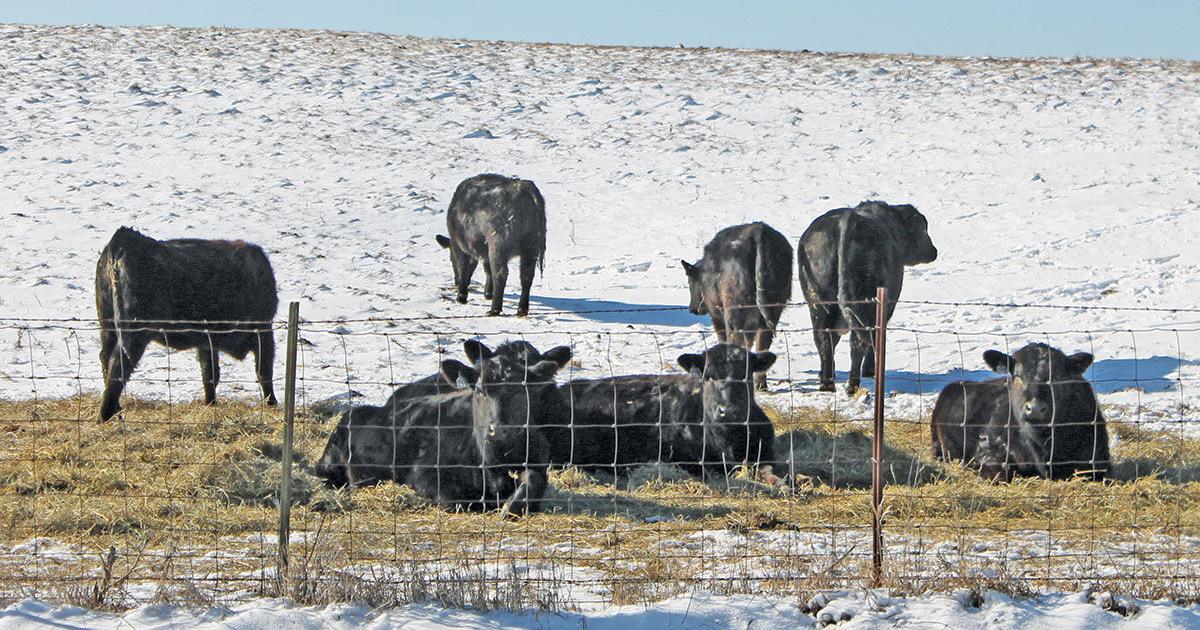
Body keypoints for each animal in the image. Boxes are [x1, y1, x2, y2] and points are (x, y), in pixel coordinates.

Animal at [95, 227, 278, 421]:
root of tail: (123, 239)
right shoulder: (264, 329)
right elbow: (264, 370)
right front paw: (271, 403)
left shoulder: (207, 340)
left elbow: (210, 372)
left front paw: (211, 403)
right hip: (134, 333)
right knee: (119, 364)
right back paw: (107, 415)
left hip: (107, 326)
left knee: (106, 358)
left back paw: (116, 411)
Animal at [315, 341, 572, 514]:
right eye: (480, 390)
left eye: (526, 388)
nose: (502, 431)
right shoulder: (426, 476)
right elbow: (456, 500)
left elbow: (534, 481)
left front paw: (511, 506)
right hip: (329, 466)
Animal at [435, 174, 547, 317]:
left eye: (450, 259)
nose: (455, 282)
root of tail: (522, 186)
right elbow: (487, 269)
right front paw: (488, 293)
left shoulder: (459, 247)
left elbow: (463, 268)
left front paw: (461, 296)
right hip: (530, 248)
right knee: (526, 276)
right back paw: (521, 310)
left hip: (498, 245)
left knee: (500, 274)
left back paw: (494, 309)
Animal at [681, 222, 792, 390]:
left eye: (689, 281)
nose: (692, 309)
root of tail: (758, 231)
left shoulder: (716, 315)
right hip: (773, 308)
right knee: (762, 342)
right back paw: (760, 383)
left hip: (734, 311)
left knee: (736, 341)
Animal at [797, 201, 937, 394]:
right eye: (924, 229)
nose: (934, 251)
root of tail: (846, 222)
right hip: (863, 307)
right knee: (858, 344)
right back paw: (853, 385)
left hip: (820, 306)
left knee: (824, 341)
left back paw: (827, 383)